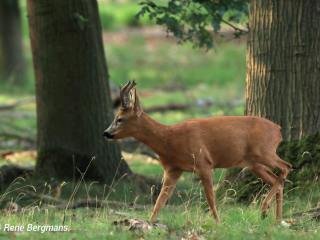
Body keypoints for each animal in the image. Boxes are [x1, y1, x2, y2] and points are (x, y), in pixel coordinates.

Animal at [104, 80, 292, 223]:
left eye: (120, 119)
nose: (105, 133)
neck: (169, 140)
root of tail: (278, 130)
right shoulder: (173, 169)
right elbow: (160, 201)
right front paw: (150, 223)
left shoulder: (204, 163)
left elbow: (210, 198)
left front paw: (218, 223)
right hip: (254, 163)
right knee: (276, 179)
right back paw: (276, 219)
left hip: (264, 151)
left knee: (286, 167)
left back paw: (265, 210)